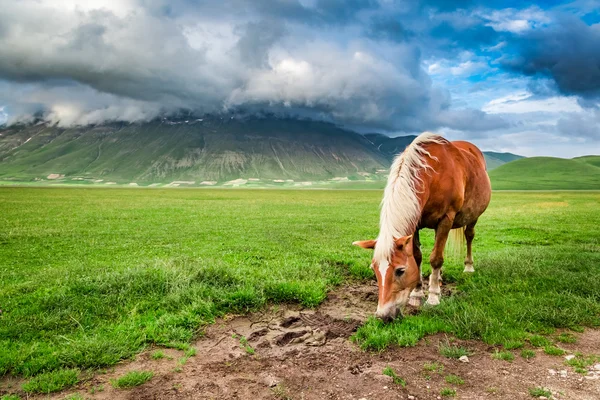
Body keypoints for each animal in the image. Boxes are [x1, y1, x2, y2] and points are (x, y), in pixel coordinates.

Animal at [354, 133, 490, 320]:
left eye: (400, 270)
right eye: (374, 269)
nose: (383, 316)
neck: (433, 176)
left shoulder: (446, 218)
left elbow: (436, 258)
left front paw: (433, 297)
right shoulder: (416, 222)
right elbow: (418, 257)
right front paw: (417, 294)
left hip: (473, 215)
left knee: (469, 235)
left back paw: (468, 267)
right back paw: (439, 278)